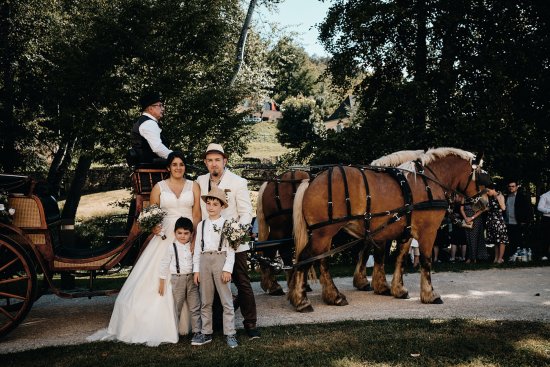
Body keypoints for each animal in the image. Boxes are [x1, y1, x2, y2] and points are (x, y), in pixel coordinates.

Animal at [256, 151, 424, 298]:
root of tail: (270, 182)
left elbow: (366, 250)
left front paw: (363, 281)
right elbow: (378, 252)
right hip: (281, 228)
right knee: (272, 250)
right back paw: (274, 286)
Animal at [292, 148, 490, 312]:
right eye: (481, 177)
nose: (485, 203)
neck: (428, 181)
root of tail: (311, 180)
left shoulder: (405, 232)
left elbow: (399, 259)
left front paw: (397, 289)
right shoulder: (427, 231)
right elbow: (425, 261)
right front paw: (430, 295)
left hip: (323, 235)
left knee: (320, 260)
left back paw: (329, 296)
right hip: (323, 233)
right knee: (306, 260)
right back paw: (304, 300)